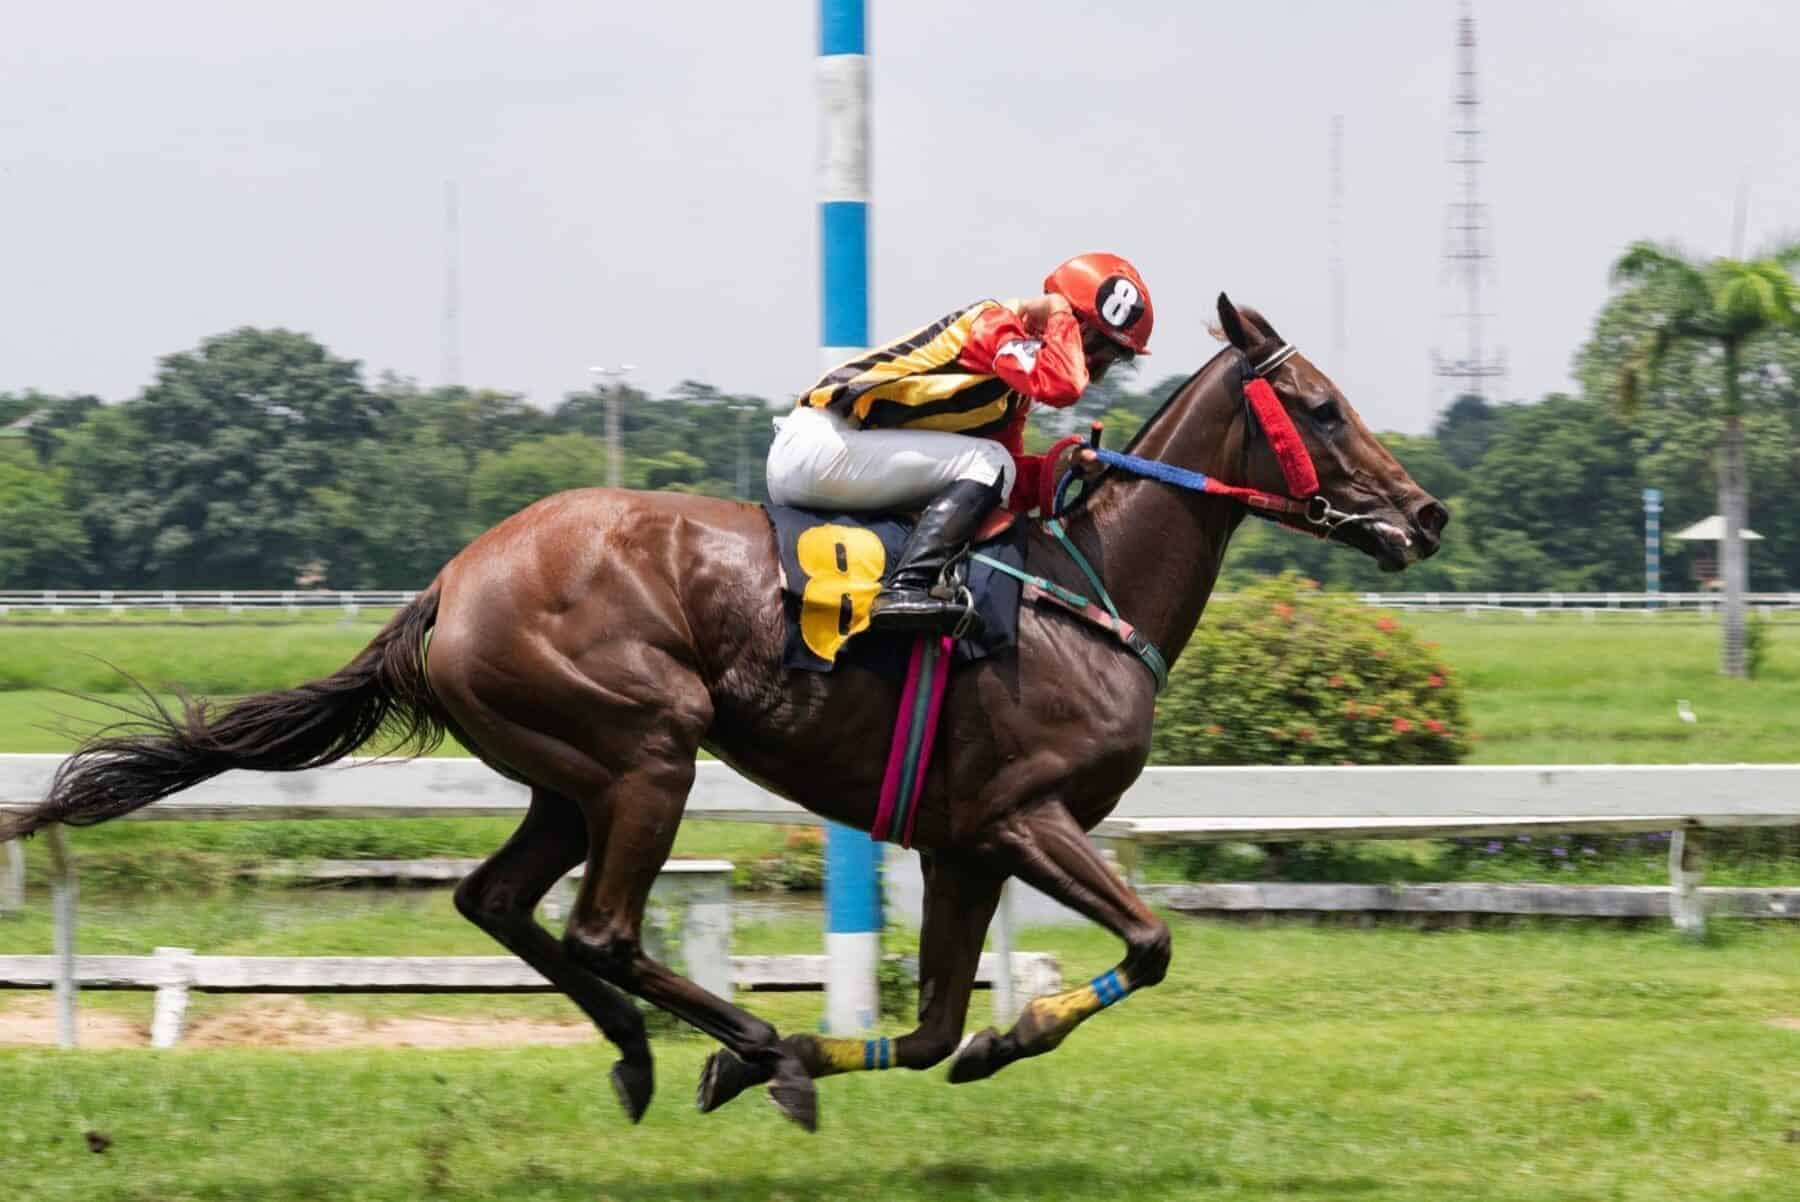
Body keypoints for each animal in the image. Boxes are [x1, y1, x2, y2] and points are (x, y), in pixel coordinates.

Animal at [5, 293, 1446, 1131]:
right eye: (1319, 406)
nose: (1424, 513)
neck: (1080, 590)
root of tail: (453, 578)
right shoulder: (1024, 815)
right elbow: (1146, 943)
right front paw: (986, 1037)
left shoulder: (961, 841)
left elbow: (932, 1026)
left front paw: (944, 1044)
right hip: (647, 749)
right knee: (596, 923)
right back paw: (744, 1046)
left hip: (565, 771)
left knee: (501, 902)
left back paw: (649, 1056)